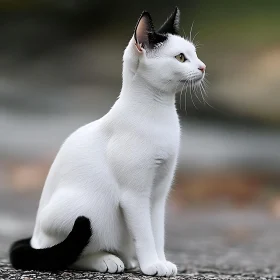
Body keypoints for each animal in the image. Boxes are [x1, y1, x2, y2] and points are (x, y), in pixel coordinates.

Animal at [9, 7, 206, 276]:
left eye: (194, 54)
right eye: (180, 58)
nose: (203, 67)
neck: (159, 113)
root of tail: (35, 239)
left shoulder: (158, 194)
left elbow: (157, 232)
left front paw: (161, 261)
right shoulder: (134, 195)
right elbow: (145, 234)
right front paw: (151, 265)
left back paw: (126, 259)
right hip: (89, 210)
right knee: (69, 254)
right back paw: (107, 260)